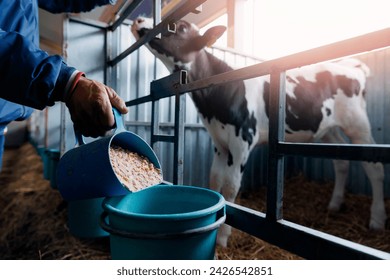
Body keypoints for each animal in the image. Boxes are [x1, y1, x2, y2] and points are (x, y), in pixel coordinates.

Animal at [132, 16, 386, 246]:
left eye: (181, 27)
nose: (139, 20)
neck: (214, 101)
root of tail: (353, 66)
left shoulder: (242, 140)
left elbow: (231, 186)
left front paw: (222, 239)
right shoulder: (219, 142)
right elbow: (215, 180)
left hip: (358, 124)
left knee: (375, 167)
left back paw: (377, 219)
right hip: (327, 129)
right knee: (341, 162)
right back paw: (334, 205)